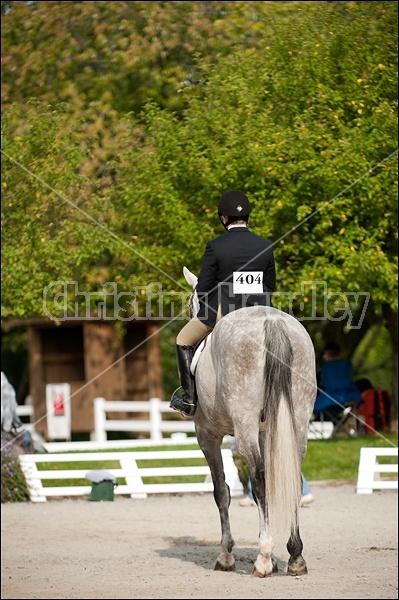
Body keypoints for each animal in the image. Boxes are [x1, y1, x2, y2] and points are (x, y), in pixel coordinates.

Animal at [183, 268, 318, 576]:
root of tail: (273, 323)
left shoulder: (207, 434)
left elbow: (221, 491)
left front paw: (226, 555)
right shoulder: (266, 431)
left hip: (242, 427)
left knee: (258, 478)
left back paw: (264, 558)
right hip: (296, 420)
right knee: (290, 476)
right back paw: (295, 557)